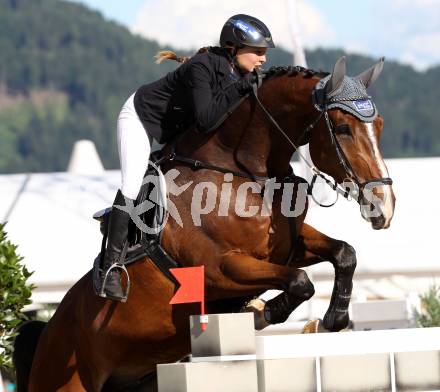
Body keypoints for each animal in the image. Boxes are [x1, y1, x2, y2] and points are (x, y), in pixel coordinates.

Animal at [13, 56, 396, 390]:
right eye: (343, 128)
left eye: (379, 126)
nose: (385, 206)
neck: (244, 174)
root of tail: (47, 331)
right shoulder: (218, 270)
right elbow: (301, 282)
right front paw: (260, 311)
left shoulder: (289, 247)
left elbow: (344, 254)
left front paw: (335, 318)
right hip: (67, 379)